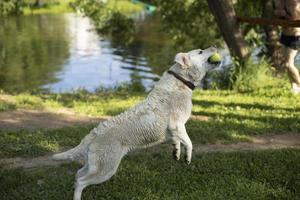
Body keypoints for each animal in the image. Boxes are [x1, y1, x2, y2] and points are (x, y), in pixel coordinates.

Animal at [52, 46, 220, 198]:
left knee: (78, 174)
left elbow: (178, 142)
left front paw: (177, 153)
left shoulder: (175, 130)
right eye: (200, 51)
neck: (181, 80)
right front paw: (187, 158)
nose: (215, 46)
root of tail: (93, 134)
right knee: (81, 181)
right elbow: (190, 143)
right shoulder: (177, 124)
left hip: (94, 164)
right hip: (106, 168)